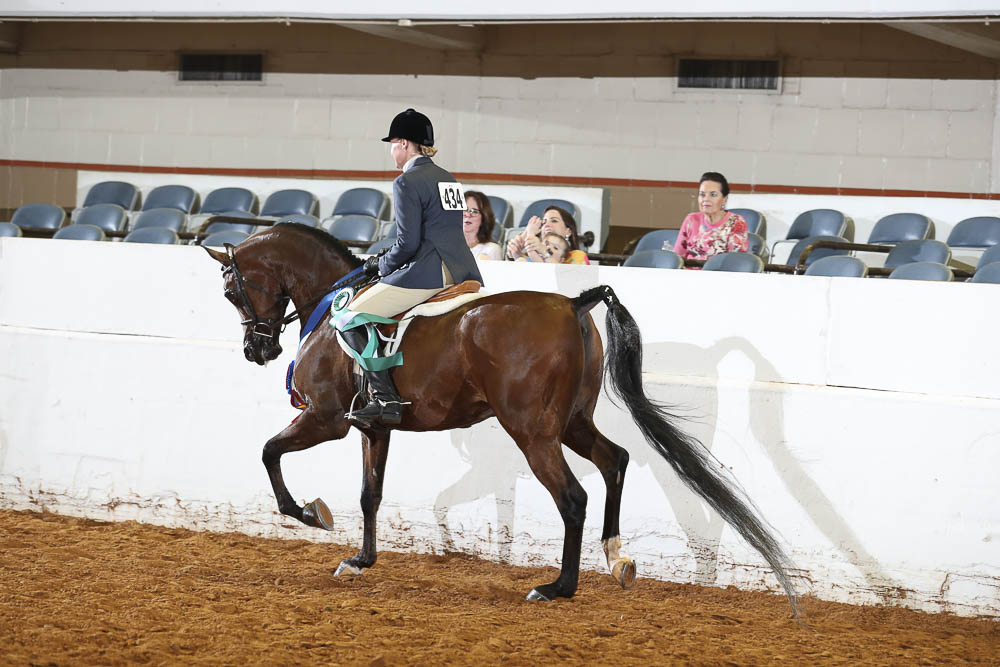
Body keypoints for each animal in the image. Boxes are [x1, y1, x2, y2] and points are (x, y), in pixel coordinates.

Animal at [204, 223, 799, 611]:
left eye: (233, 291)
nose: (256, 351)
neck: (331, 309)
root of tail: (575, 304)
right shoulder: (374, 425)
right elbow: (370, 493)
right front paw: (360, 561)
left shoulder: (326, 419)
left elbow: (269, 452)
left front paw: (309, 514)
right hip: (571, 423)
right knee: (616, 461)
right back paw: (615, 560)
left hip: (532, 432)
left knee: (573, 498)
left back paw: (558, 587)